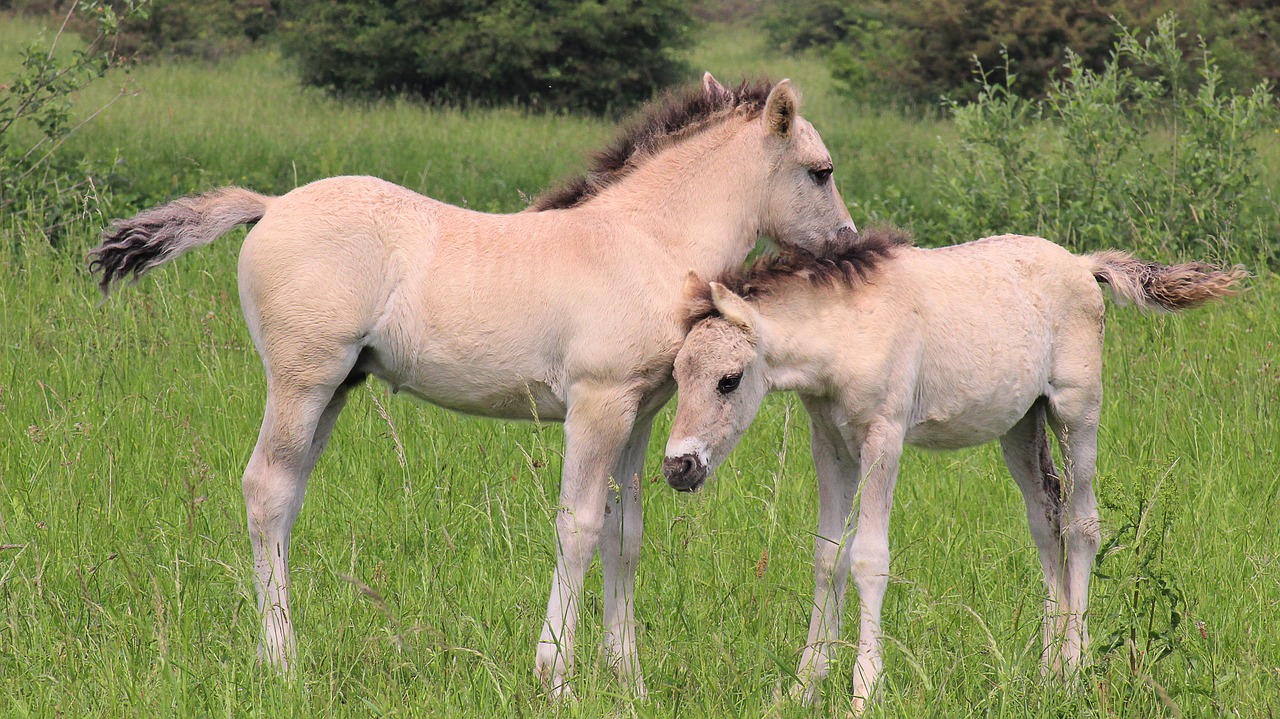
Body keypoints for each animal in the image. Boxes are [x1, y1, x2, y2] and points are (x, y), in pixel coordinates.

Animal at [90, 74, 860, 695]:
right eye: (820, 171)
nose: (848, 245)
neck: (646, 240)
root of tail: (271, 204)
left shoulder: (642, 413)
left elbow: (626, 533)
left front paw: (630, 681)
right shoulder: (598, 404)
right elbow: (579, 526)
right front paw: (556, 677)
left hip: (336, 389)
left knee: (287, 498)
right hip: (302, 379)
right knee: (266, 489)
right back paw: (281, 662)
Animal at [665, 226, 1244, 706]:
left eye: (729, 380)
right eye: (676, 373)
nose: (678, 467)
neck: (849, 330)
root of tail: (1083, 264)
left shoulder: (884, 437)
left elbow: (868, 558)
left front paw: (865, 691)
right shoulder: (828, 441)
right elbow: (826, 557)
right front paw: (802, 689)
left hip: (1076, 411)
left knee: (1083, 524)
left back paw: (1076, 670)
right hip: (1021, 424)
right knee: (1047, 519)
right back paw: (1047, 675)